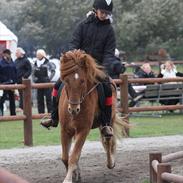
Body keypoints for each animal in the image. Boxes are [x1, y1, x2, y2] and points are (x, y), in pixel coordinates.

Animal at [58, 49, 127, 182]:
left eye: (82, 81)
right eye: (66, 81)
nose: (73, 109)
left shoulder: (83, 130)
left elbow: (73, 157)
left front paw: (68, 179)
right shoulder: (65, 130)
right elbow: (65, 157)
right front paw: (75, 175)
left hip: (108, 121)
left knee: (108, 140)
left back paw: (111, 163)